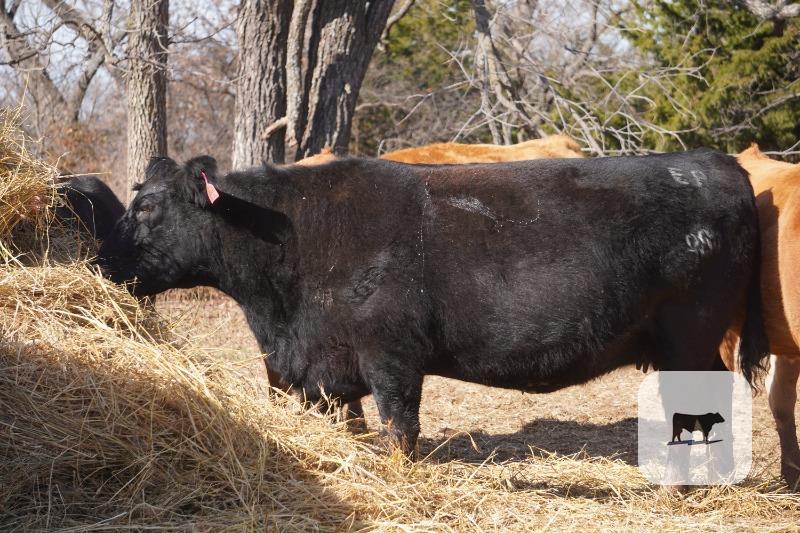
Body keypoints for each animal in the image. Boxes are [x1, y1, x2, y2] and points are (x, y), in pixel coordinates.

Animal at [99, 150, 768, 454]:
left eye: (148, 207)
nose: (102, 261)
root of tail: (712, 160)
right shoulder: (324, 367)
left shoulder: (390, 354)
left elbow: (400, 427)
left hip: (692, 335)